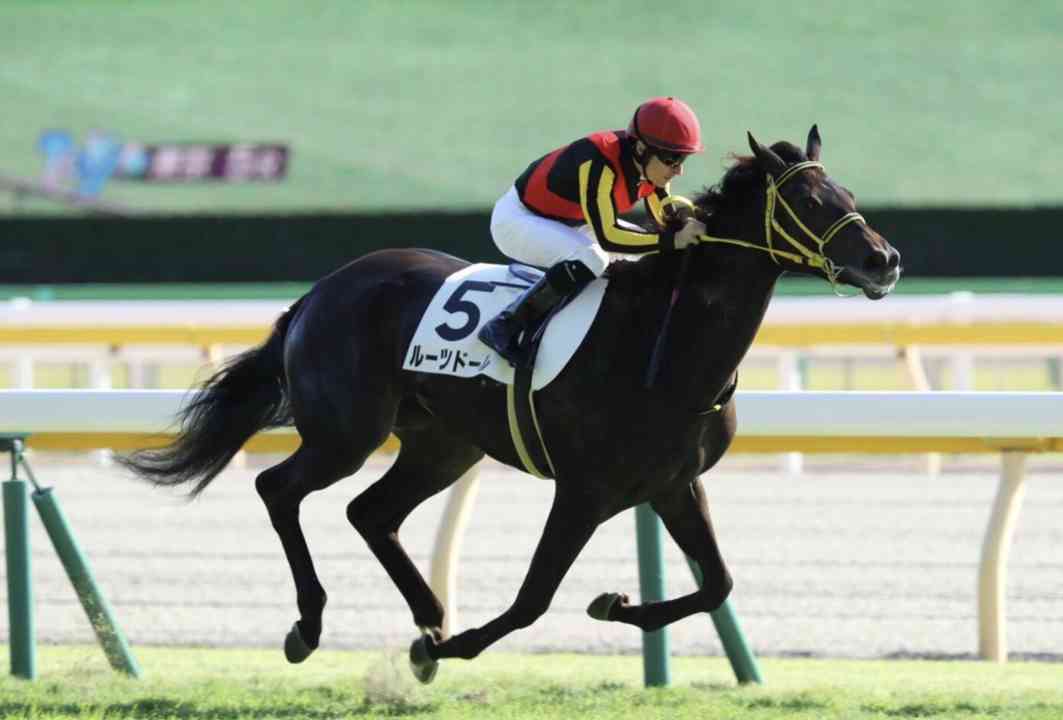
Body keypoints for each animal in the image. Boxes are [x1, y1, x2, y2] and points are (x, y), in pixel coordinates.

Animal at [119, 126, 900, 683]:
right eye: (810, 203)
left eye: (846, 191)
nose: (883, 260)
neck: (667, 347)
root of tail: (319, 291)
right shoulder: (584, 490)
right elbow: (533, 599)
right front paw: (455, 646)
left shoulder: (674, 485)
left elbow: (717, 585)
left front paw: (612, 602)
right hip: (346, 433)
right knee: (278, 488)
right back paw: (312, 626)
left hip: (444, 444)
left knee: (370, 512)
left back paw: (428, 616)